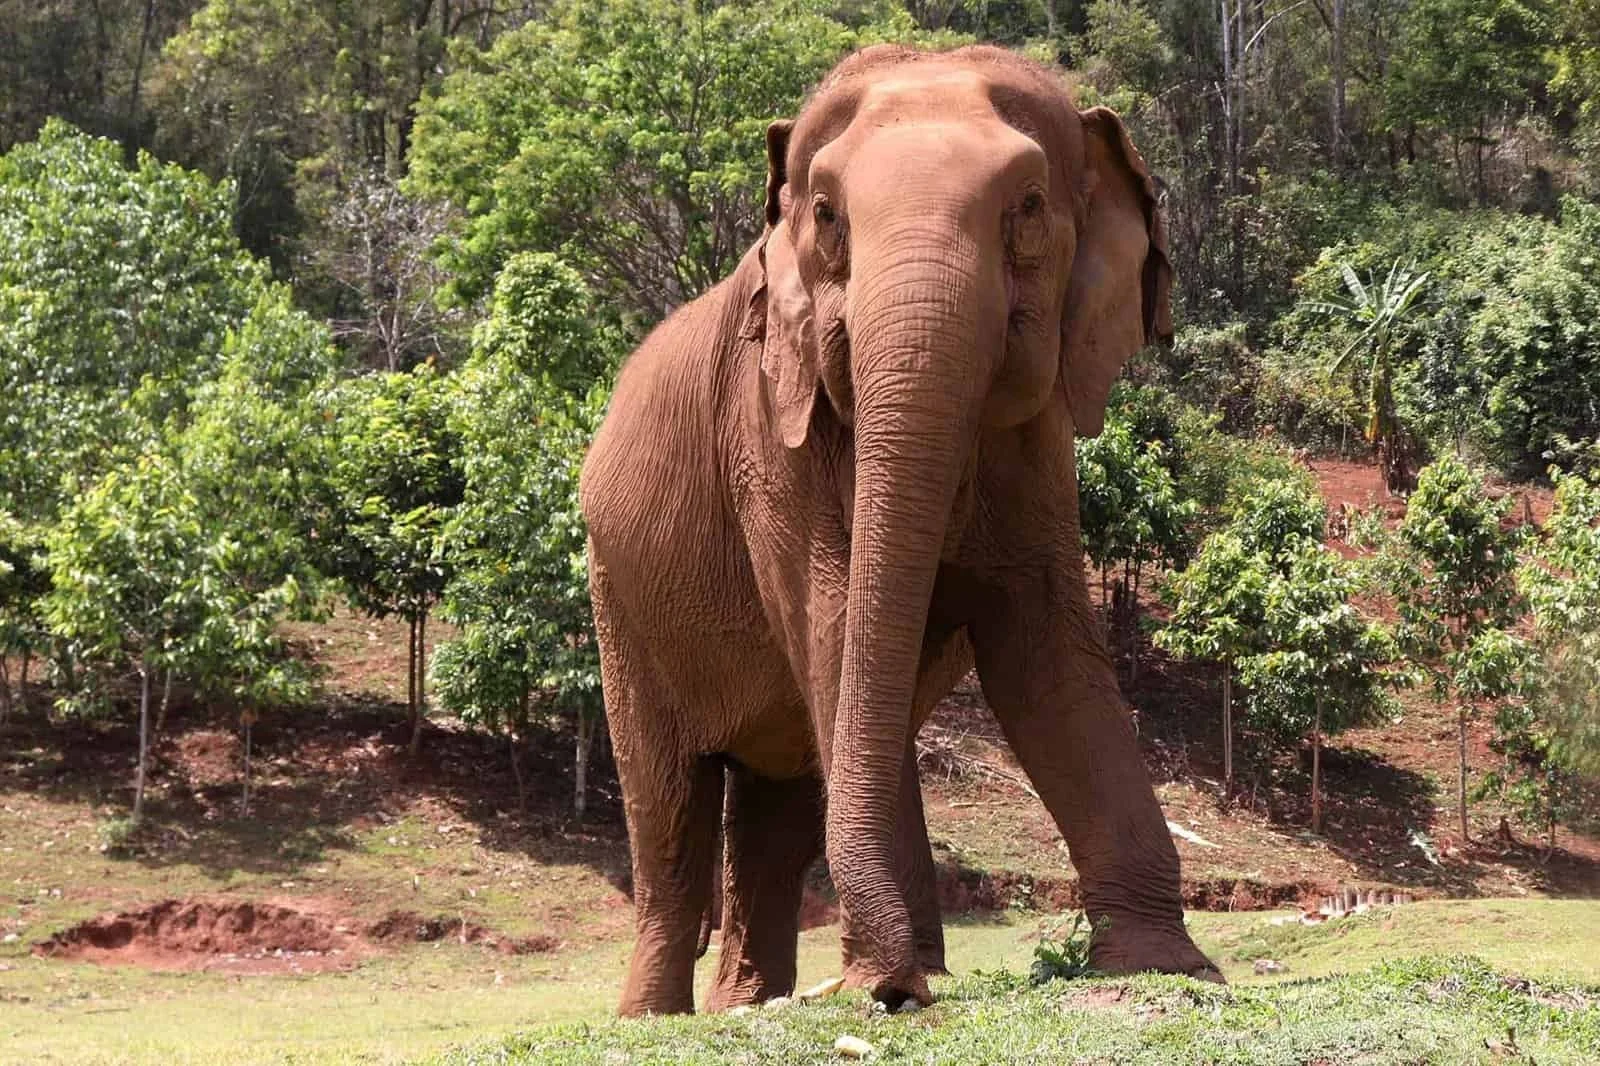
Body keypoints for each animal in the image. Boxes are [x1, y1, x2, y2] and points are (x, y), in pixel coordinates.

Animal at [580, 43, 1220, 1017]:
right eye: (826, 215)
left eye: (1028, 207)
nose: (891, 996)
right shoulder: (769, 434)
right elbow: (836, 628)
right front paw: (892, 975)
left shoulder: (1035, 448)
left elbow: (1040, 651)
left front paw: (1167, 967)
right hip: (619, 600)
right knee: (669, 802)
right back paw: (658, 1015)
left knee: (784, 794)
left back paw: (749, 1003)